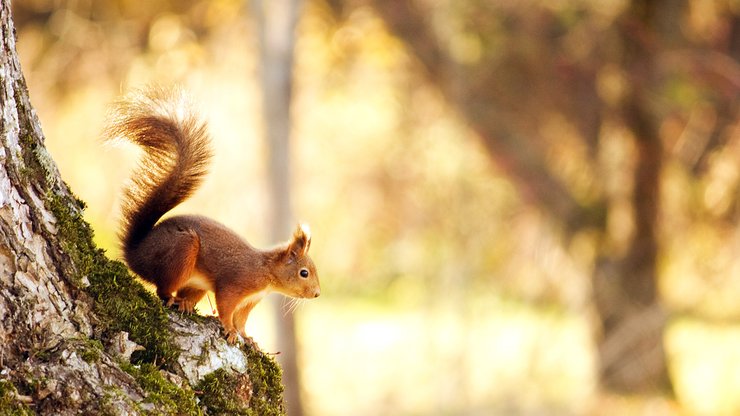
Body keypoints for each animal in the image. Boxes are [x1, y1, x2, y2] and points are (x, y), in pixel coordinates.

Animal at [105, 88, 320, 344]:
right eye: (303, 273)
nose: (317, 293)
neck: (265, 272)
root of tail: (136, 253)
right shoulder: (235, 284)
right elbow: (226, 307)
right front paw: (229, 329)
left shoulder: (249, 301)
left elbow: (242, 320)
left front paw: (247, 337)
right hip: (181, 251)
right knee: (162, 289)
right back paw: (173, 299)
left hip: (196, 283)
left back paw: (186, 303)